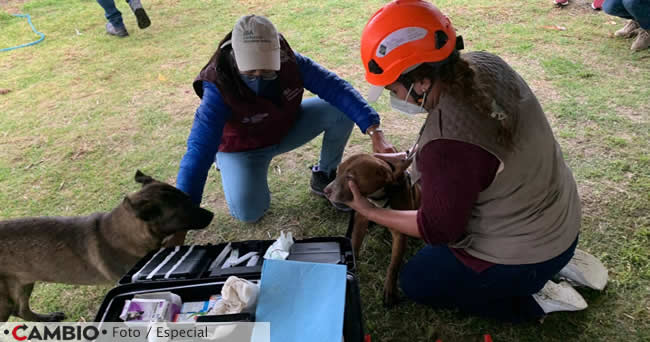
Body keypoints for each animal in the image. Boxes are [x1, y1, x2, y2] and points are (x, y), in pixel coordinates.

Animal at [0, 171, 214, 324]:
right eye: (183, 211)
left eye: (189, 198)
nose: (211, 215)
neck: (123, 232)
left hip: (23, 284)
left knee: (21, 310)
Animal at [324, 154, 420, 306]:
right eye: (337, 171)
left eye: (350, 177)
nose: (325, 191)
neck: (378, 196)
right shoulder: (361, 217)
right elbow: (355, 241)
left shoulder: (400, 232)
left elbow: (394, 265)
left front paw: (390, 289)